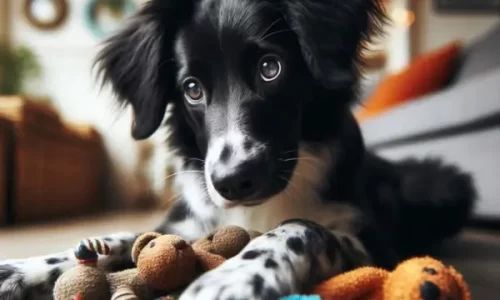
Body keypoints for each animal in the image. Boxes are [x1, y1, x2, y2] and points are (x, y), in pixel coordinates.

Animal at [0, 0, 476, 298]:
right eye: (192, 89)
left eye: (271, 68)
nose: (232, 182)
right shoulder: (191, 220)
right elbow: (128, 236)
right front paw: (24, 268)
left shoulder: (374, 245)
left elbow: (301, 227)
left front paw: (236, 278)